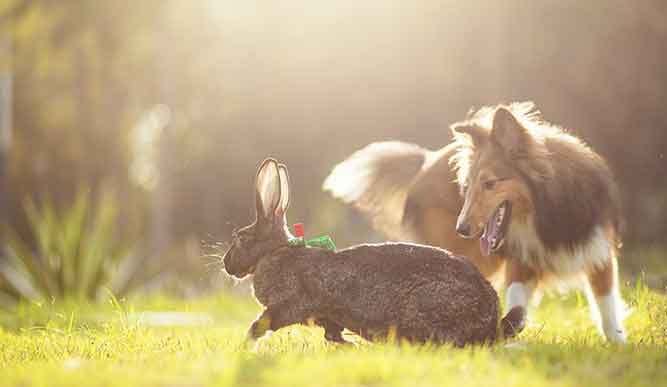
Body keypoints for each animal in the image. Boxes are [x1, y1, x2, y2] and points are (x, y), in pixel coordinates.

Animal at [222, 159, 524, 348]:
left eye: (241, 238)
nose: (226, 265)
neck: (275, 251)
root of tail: (491, 324)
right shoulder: (326, 318)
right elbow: (332, 334)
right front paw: (352, 346)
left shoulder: (291, 304)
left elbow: (261, 324)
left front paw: (245, 345)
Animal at [326, 102, 628, 342]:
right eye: (468, 185)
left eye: (490, 183)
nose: (461, 229)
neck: (545, 211)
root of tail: (426, 160)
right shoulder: (521, 262)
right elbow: (516, 301)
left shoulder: (597, 251)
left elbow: (607, 307)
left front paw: (617, 343)